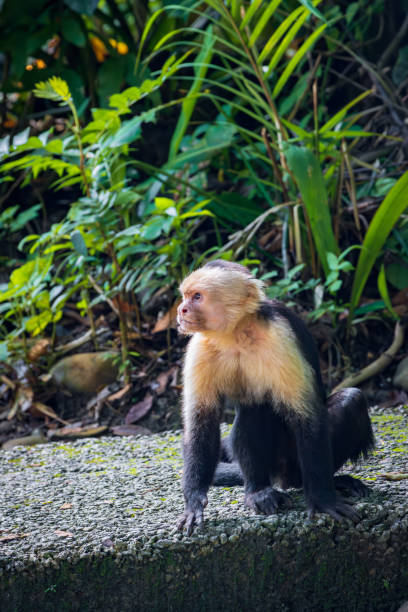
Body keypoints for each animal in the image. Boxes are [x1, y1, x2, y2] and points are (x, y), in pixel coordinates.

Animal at [177, 260, 374, 532]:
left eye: (197, 297)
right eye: (185, 296)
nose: (181, 309)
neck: (235, 333)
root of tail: (282, 477)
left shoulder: (280, 336)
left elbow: (308, 419)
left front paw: (323, 500)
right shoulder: (199, 348)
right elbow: (201, 423)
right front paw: (194, 501)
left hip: (292, 460)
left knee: (351, 401)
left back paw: (331, 482)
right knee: (255, 408)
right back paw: (258, 491)